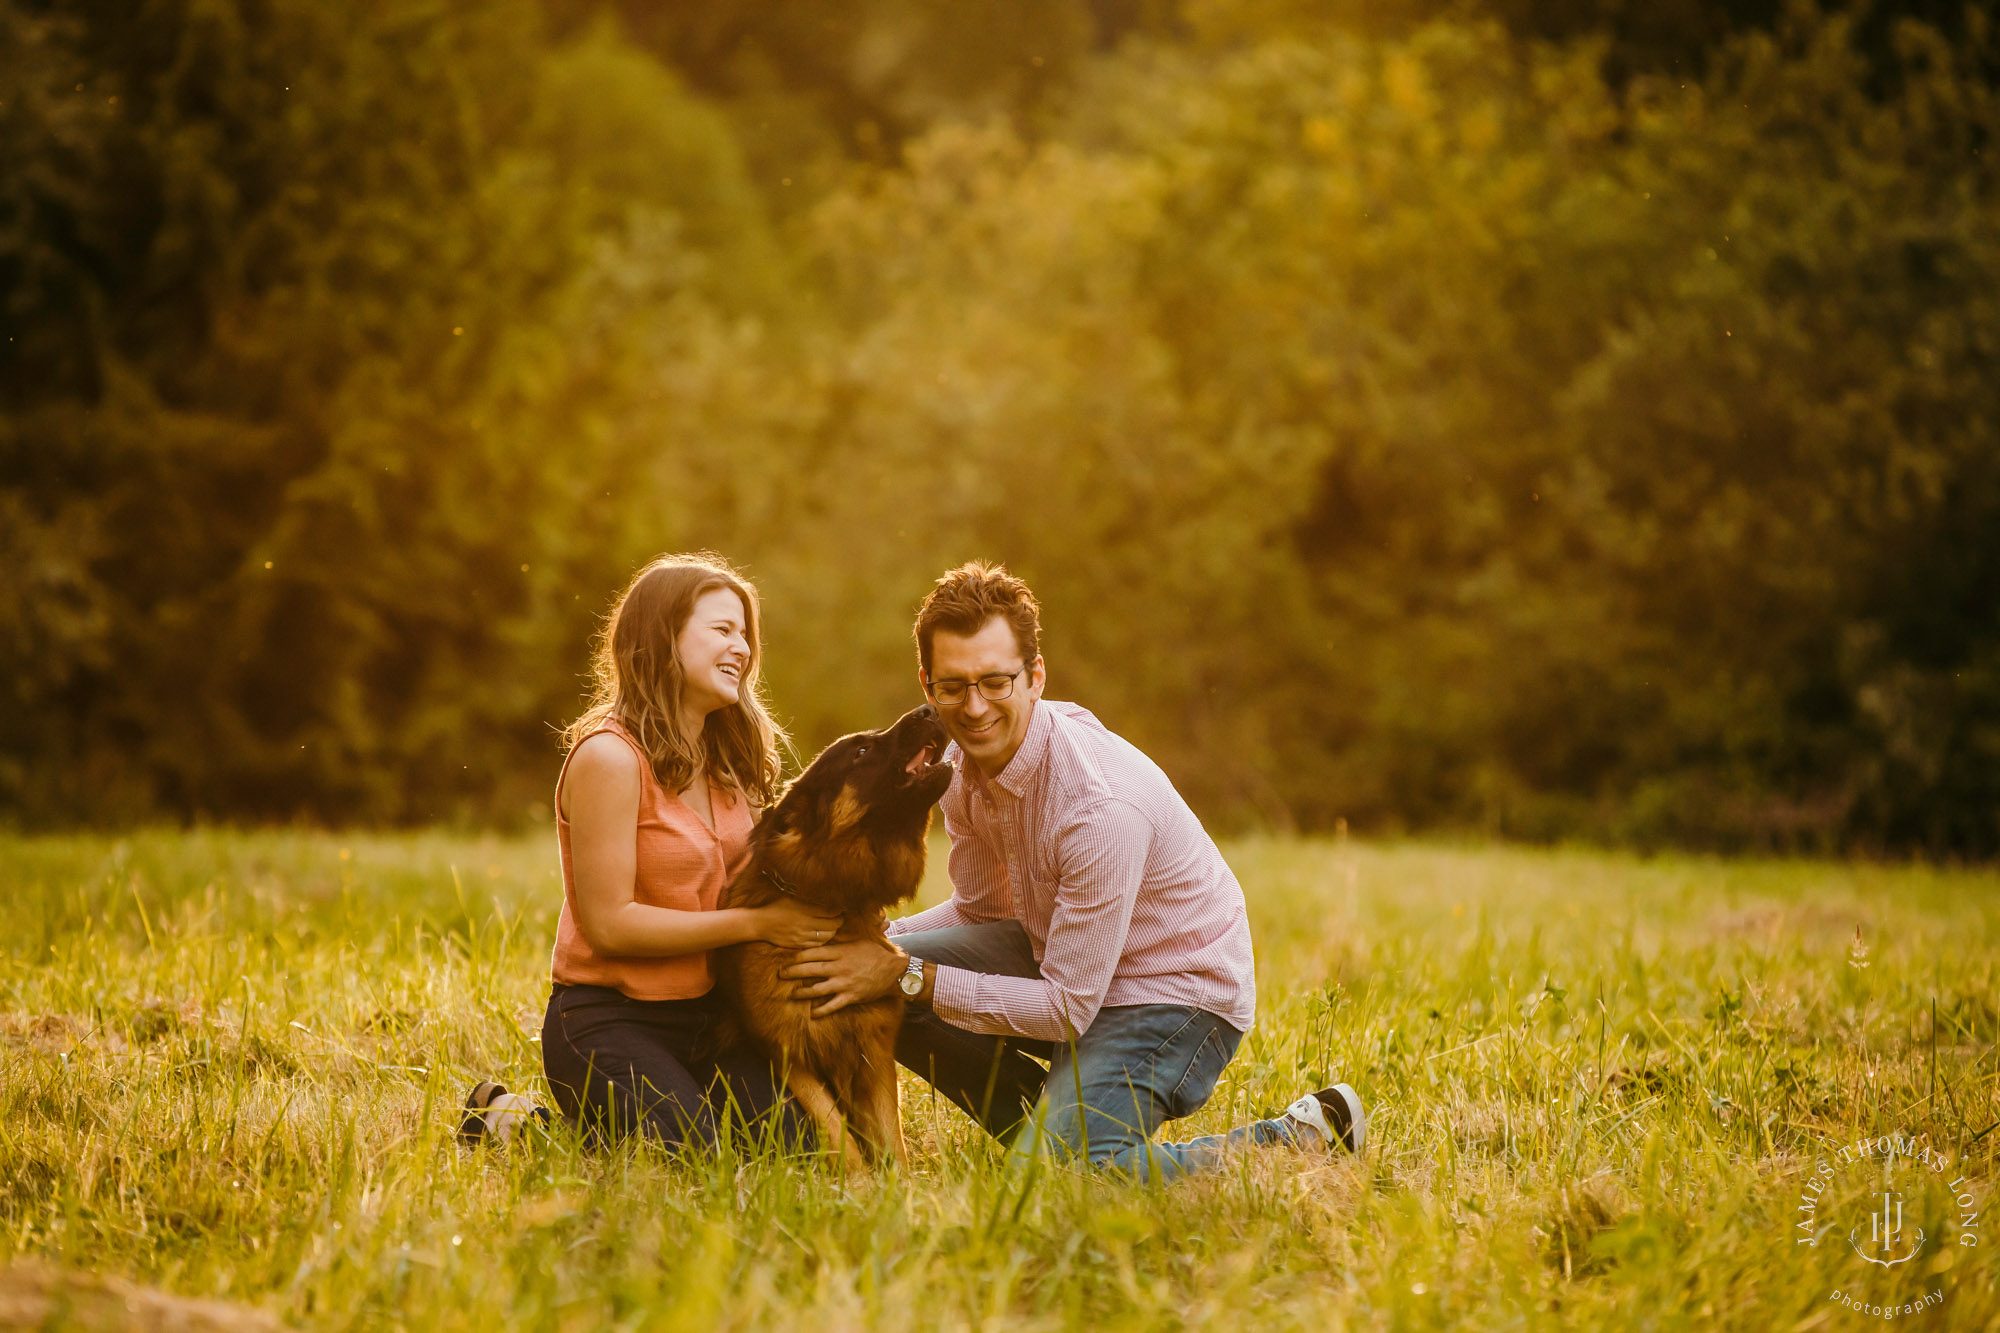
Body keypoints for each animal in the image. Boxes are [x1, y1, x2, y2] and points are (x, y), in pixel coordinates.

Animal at [720, 700, 952, 1168]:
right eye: (861, 751)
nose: (930, 708)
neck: (836, 903)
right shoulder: (793, 1059)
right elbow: (840, 1140)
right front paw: (860, 1184)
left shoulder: (873, 1055)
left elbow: (892, 1146)